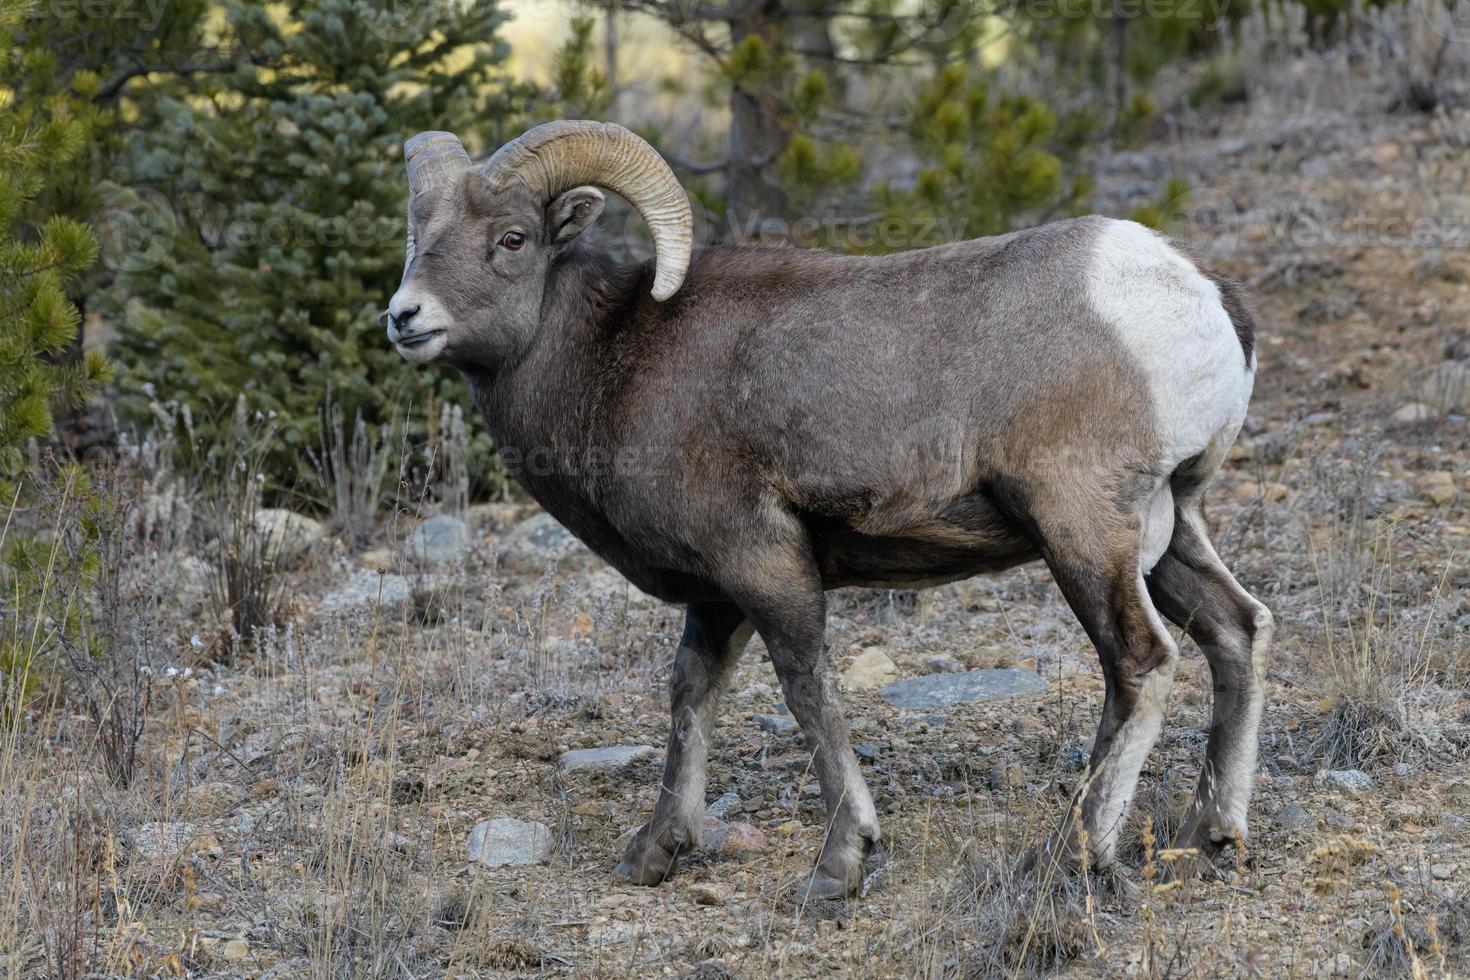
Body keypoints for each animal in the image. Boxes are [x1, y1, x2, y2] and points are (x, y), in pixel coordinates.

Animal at [385, 120, 1270, 899]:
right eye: (418, 233)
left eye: (511, 240)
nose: (404, 317)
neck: (613, 363)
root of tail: (1198, 294)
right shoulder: (716, 595)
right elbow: (690, 695)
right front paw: (654, 853)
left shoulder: (763, 562)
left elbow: (805, 690)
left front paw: (839, 867)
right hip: (1167, 533)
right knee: (1237, 628)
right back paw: (1209, 834)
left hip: (1081, 534)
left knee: (1140, 664)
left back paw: (1069, 855)